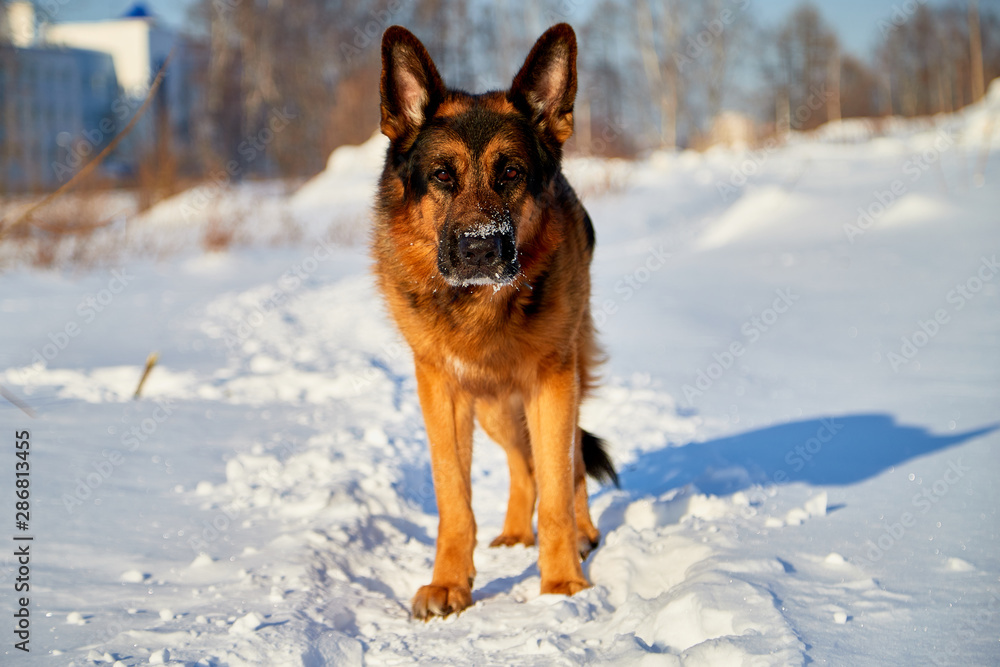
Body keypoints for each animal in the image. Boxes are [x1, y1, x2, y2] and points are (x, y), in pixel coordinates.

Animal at [372, 24, 612, 620]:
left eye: (511, 174)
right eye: (441, 176)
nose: (479, 250)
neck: (482, 308)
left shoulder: (552, 383)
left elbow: (556, 490)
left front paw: (562, 584)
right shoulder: (442, 392)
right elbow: (454, 500)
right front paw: (450, 584)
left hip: (556, 387)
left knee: (569, 464)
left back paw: (582, 536)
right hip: (494, 409)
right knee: (522, 464)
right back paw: (516, 535)